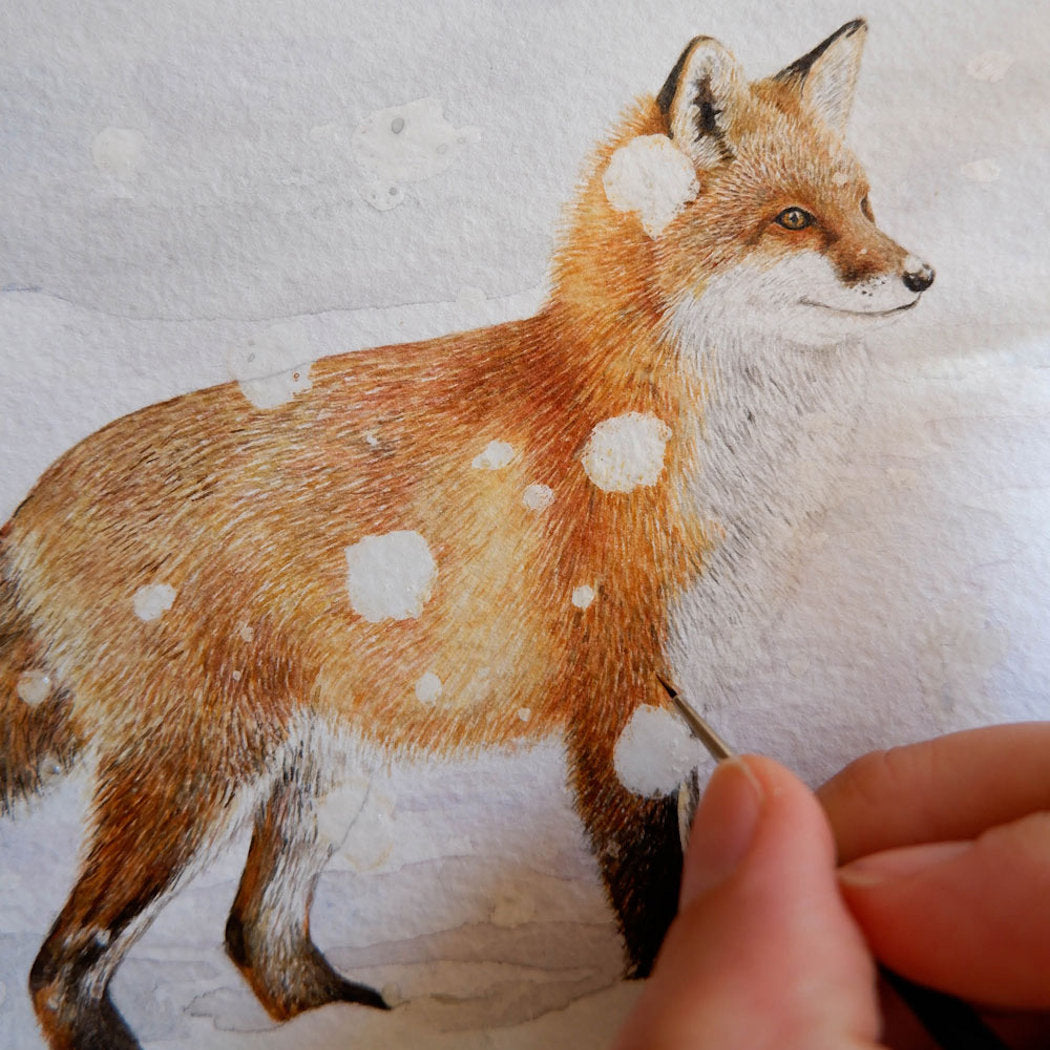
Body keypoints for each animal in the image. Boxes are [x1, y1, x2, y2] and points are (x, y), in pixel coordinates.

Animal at [0, 19, 933, 1050]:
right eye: (795, 219)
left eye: (865, 204)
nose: (923, 275)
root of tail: (31, 497)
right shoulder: (623, 709)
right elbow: (653, 898)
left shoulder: (681, 695)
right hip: (200, 771)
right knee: (64, 965)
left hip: (316, 772)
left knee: (256, 933)